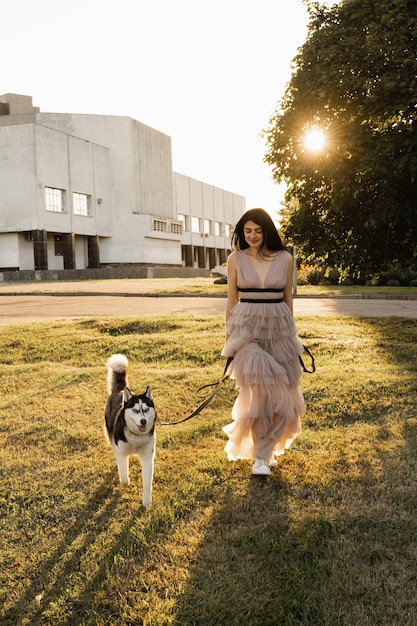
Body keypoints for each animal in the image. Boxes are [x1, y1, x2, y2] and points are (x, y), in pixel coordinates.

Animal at [104, 352, 156, 508]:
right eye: (135, 410)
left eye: (146, 409)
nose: (143, 421)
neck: (136, 437)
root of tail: (120, 390)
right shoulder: (122, 453)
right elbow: (124, 475)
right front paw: (124, 481)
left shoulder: (147, 456)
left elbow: (147, 483)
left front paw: (146, 502)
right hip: (110, 434)